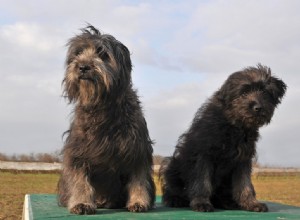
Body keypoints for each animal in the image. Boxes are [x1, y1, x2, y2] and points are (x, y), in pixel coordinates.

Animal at [57, 25, 155, 215]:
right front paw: (81, 203)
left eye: (103, 54)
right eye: (78, 53)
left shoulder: (137, 149)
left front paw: (138, 201)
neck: (102, 105)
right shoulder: (78, 150)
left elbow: (138, 179)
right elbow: (80, 180)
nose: (83, 67)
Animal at [161, 64, 288, 212]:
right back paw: (175, 199)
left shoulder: (243, 159)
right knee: (173, 188)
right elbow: (202, 181)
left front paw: (251, 203)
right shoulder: (203, 155)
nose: (258, 107)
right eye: (244, 93)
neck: (234, 125)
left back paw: (227, 202)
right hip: (172, 164)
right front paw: (201, 202)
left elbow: (245, 184)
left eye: (265, 93)